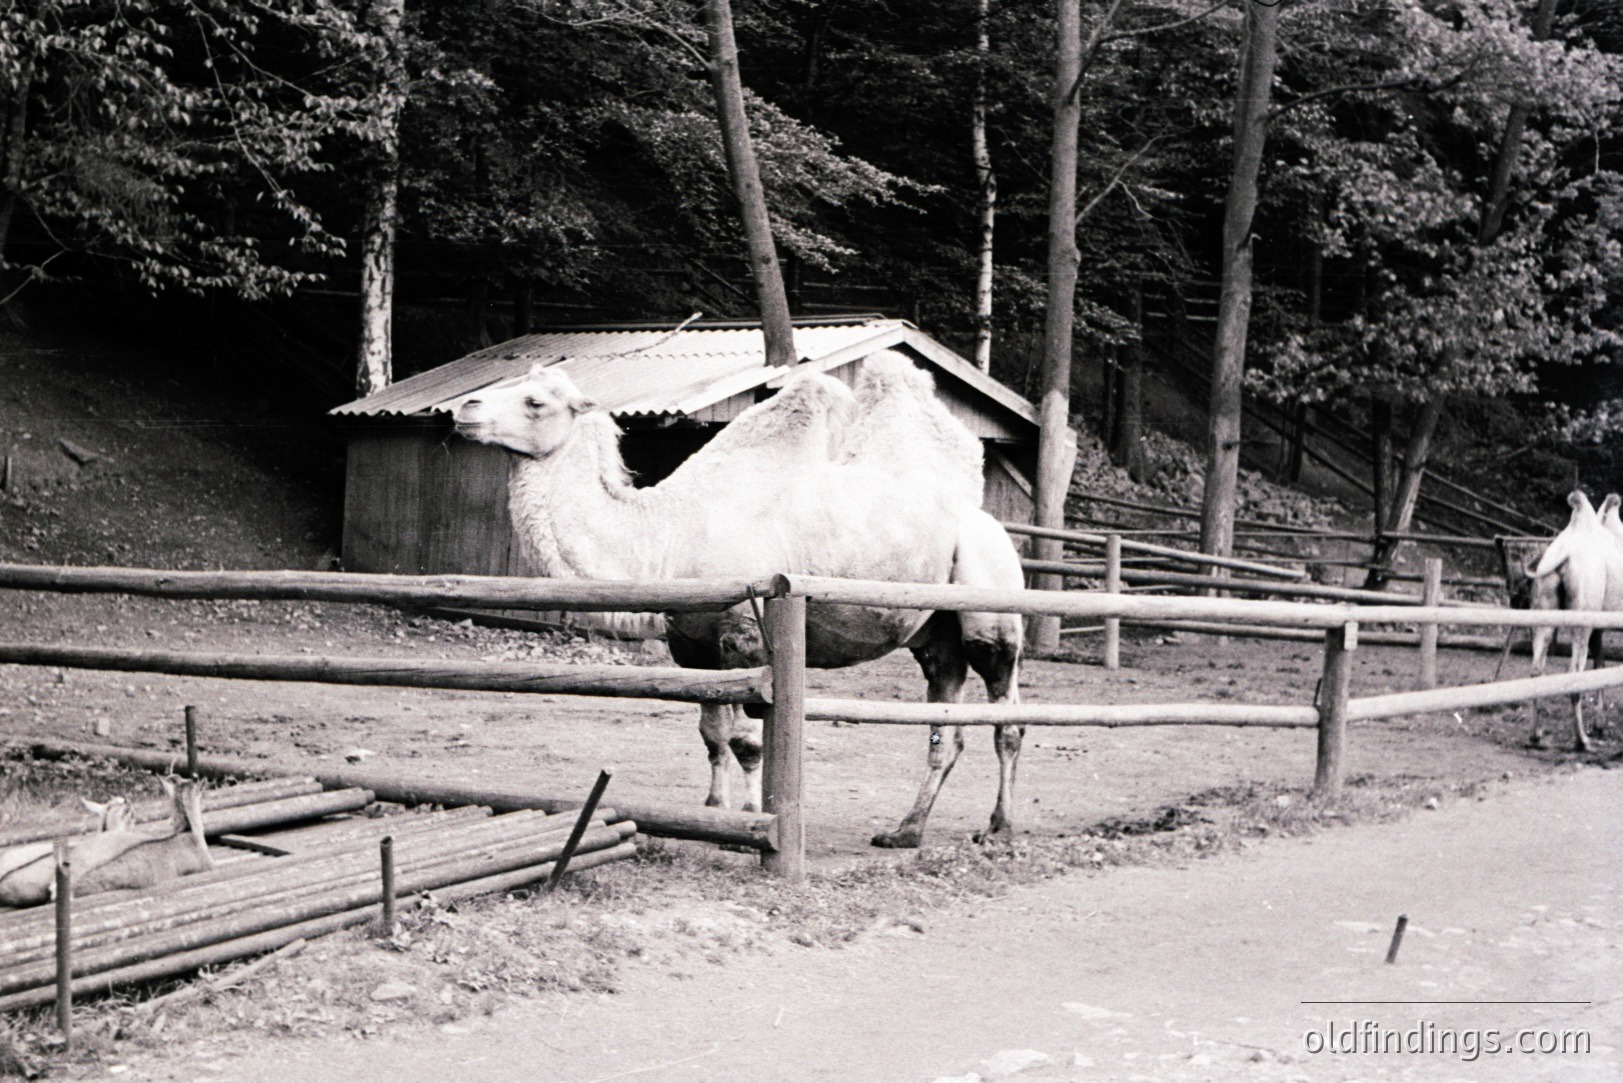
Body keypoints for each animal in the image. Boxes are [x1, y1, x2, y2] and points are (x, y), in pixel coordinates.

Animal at [452, 350, 1025, 848]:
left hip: (991, 601)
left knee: (1007, 716)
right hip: (932, 631)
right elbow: (711, 732)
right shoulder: (693, 644)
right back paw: (905, 831)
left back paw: (998, 827)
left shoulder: (745, 634)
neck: (671, 538)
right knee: (946, 725)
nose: (464, 409)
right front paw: (712, 810)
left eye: (535, 402)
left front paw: (753, 819)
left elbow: (748, 740)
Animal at [1528, 490, 1623, 751]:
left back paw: (1537, 735)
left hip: (1545, 607)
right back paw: (1582, 740)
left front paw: (1600, 724)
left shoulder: (1600, 628)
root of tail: (1563, 557)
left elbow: (1600, 665)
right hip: (1582, 617)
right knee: (1574, 674)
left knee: (1537, 669)